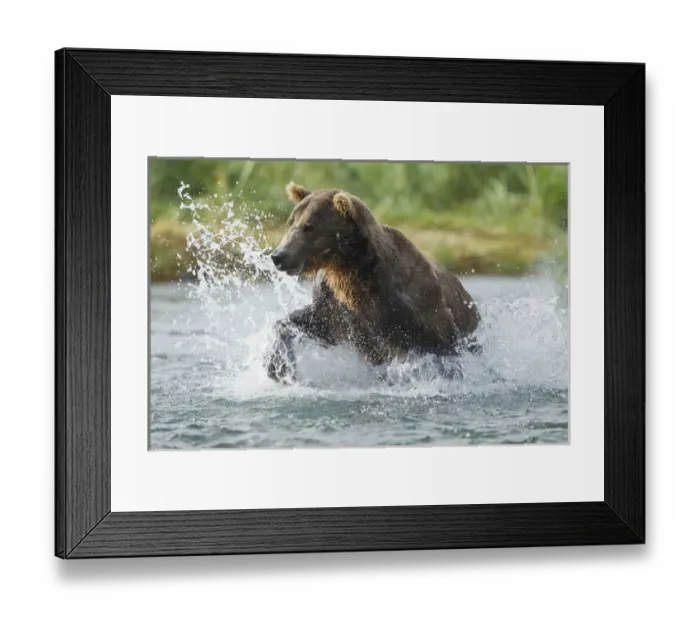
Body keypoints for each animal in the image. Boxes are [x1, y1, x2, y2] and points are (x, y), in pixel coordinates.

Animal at [264, 182, 482, 383]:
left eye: (309, 226)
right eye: (291, 222)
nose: (279, 256)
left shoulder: (413, 306)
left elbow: (442, 344)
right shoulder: (337, 308)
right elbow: (308, 322)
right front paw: (278, 367)